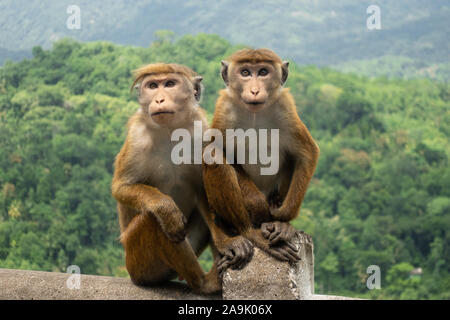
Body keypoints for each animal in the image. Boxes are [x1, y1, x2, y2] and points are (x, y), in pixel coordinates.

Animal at [111, 61, 253, 294]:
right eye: (152, 86)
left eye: (169, 84)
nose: (159, 99)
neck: (170, 130)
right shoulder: (137, 137)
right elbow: (122, 187)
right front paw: (166, 209)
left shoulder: (201, 131)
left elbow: (202, 188)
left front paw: (227, 242)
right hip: (137, 264)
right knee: (153, 220)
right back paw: (204, 283)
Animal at [202, 47, 322, 262]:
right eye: (245, 72)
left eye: (263, 72)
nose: (255, 90)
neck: (255, 114)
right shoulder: (225, 109)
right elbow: (217, 150)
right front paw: (257, 204)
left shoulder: (285, 107)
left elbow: (307, 153)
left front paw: (283, 218)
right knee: (213, 156)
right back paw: (248, 230)